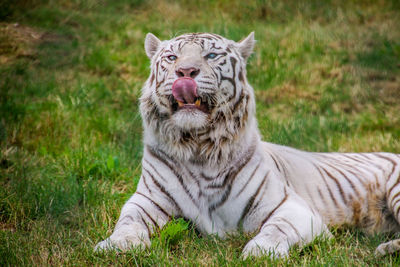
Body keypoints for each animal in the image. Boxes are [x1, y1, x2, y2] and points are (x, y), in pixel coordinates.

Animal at [94, 31, 400, 260]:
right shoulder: (146, 200)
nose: (185, 71)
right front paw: (115, 244)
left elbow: (277, 229)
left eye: (211, 56)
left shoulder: (292, 208)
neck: (198, 147)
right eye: (172, 57)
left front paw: (260, 251)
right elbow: (128, 221)